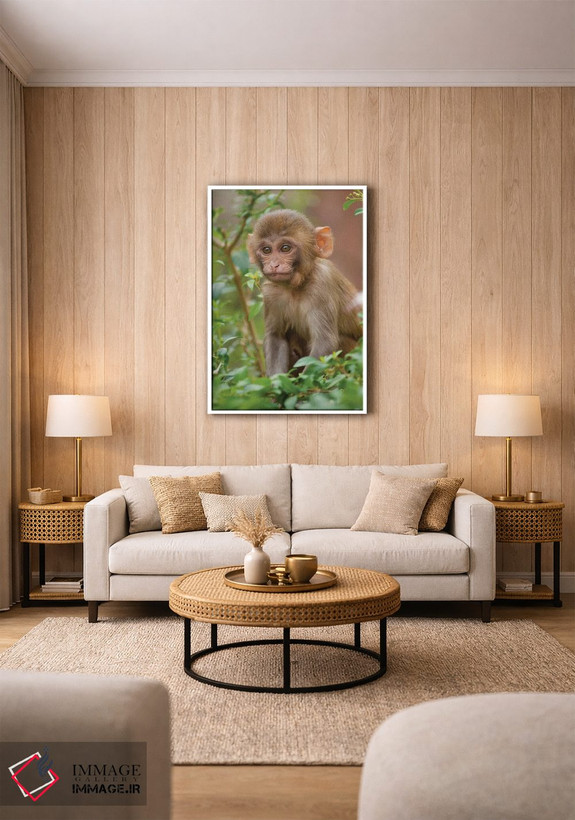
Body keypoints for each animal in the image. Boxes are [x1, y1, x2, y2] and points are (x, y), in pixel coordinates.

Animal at [247, 209, 362, 377]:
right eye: (266, 250)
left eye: (285, 248)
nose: (274, 264)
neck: (296, 287)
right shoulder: (270, 293)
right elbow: (276, 337)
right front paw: (276, 383)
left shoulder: (322, 284)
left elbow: (325, 342)